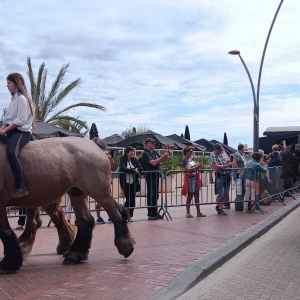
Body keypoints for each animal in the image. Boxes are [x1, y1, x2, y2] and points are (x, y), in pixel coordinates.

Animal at [0, 137, 135, 274]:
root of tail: (93, 144)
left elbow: (4, 231)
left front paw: (8, 263)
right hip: (76, 193)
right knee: (84, 220)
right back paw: (75, 254)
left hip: (99, 192)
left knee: (116, 213)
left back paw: (125, 245)